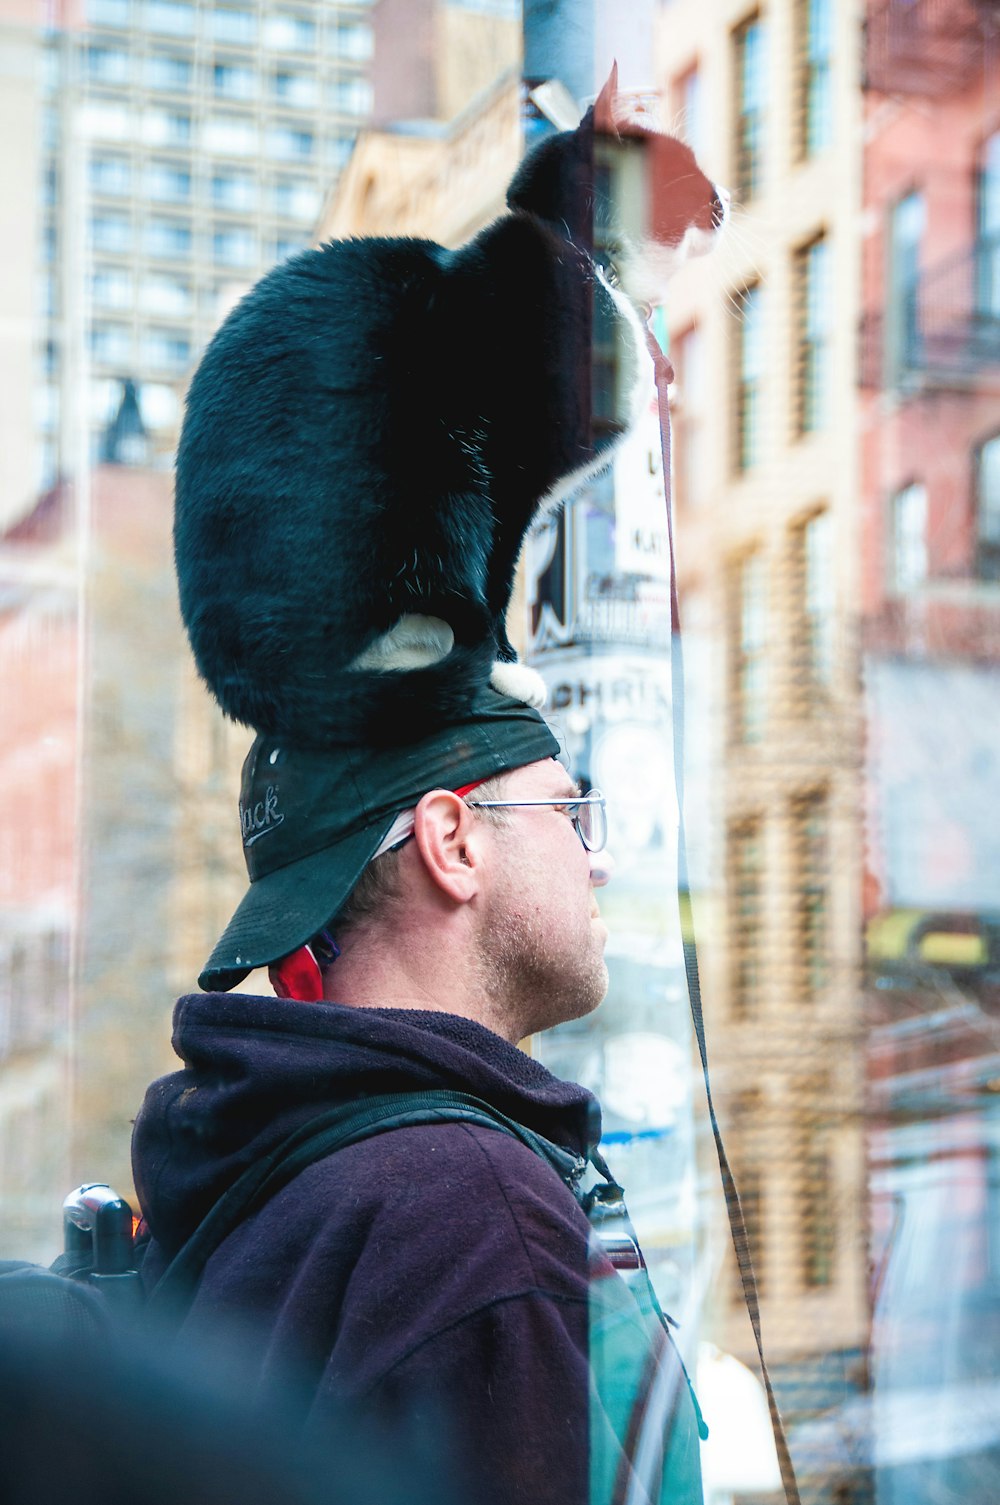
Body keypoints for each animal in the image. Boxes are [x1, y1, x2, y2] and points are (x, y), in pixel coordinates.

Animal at [175, 67, 725, 749]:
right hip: (433, 479)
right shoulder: (510, 476)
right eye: (684, 167)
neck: (592, 261)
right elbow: (498, 578)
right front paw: (507, 665)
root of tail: (233, 673)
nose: (724, 199)